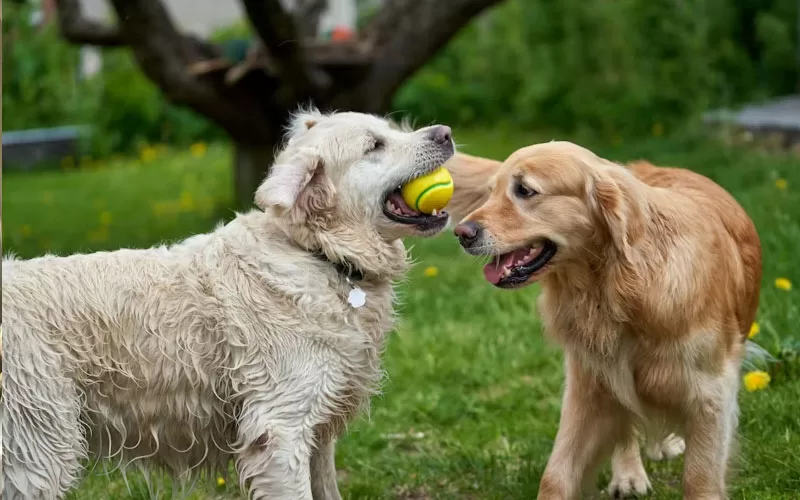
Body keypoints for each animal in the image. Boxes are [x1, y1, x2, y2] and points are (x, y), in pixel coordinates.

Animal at [0, 107, 454, 498]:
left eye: (391, 128)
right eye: (375, 144)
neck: (320, 254)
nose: (445, 133)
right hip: (38, 447)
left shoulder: (318, 431)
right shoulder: (280, 428)